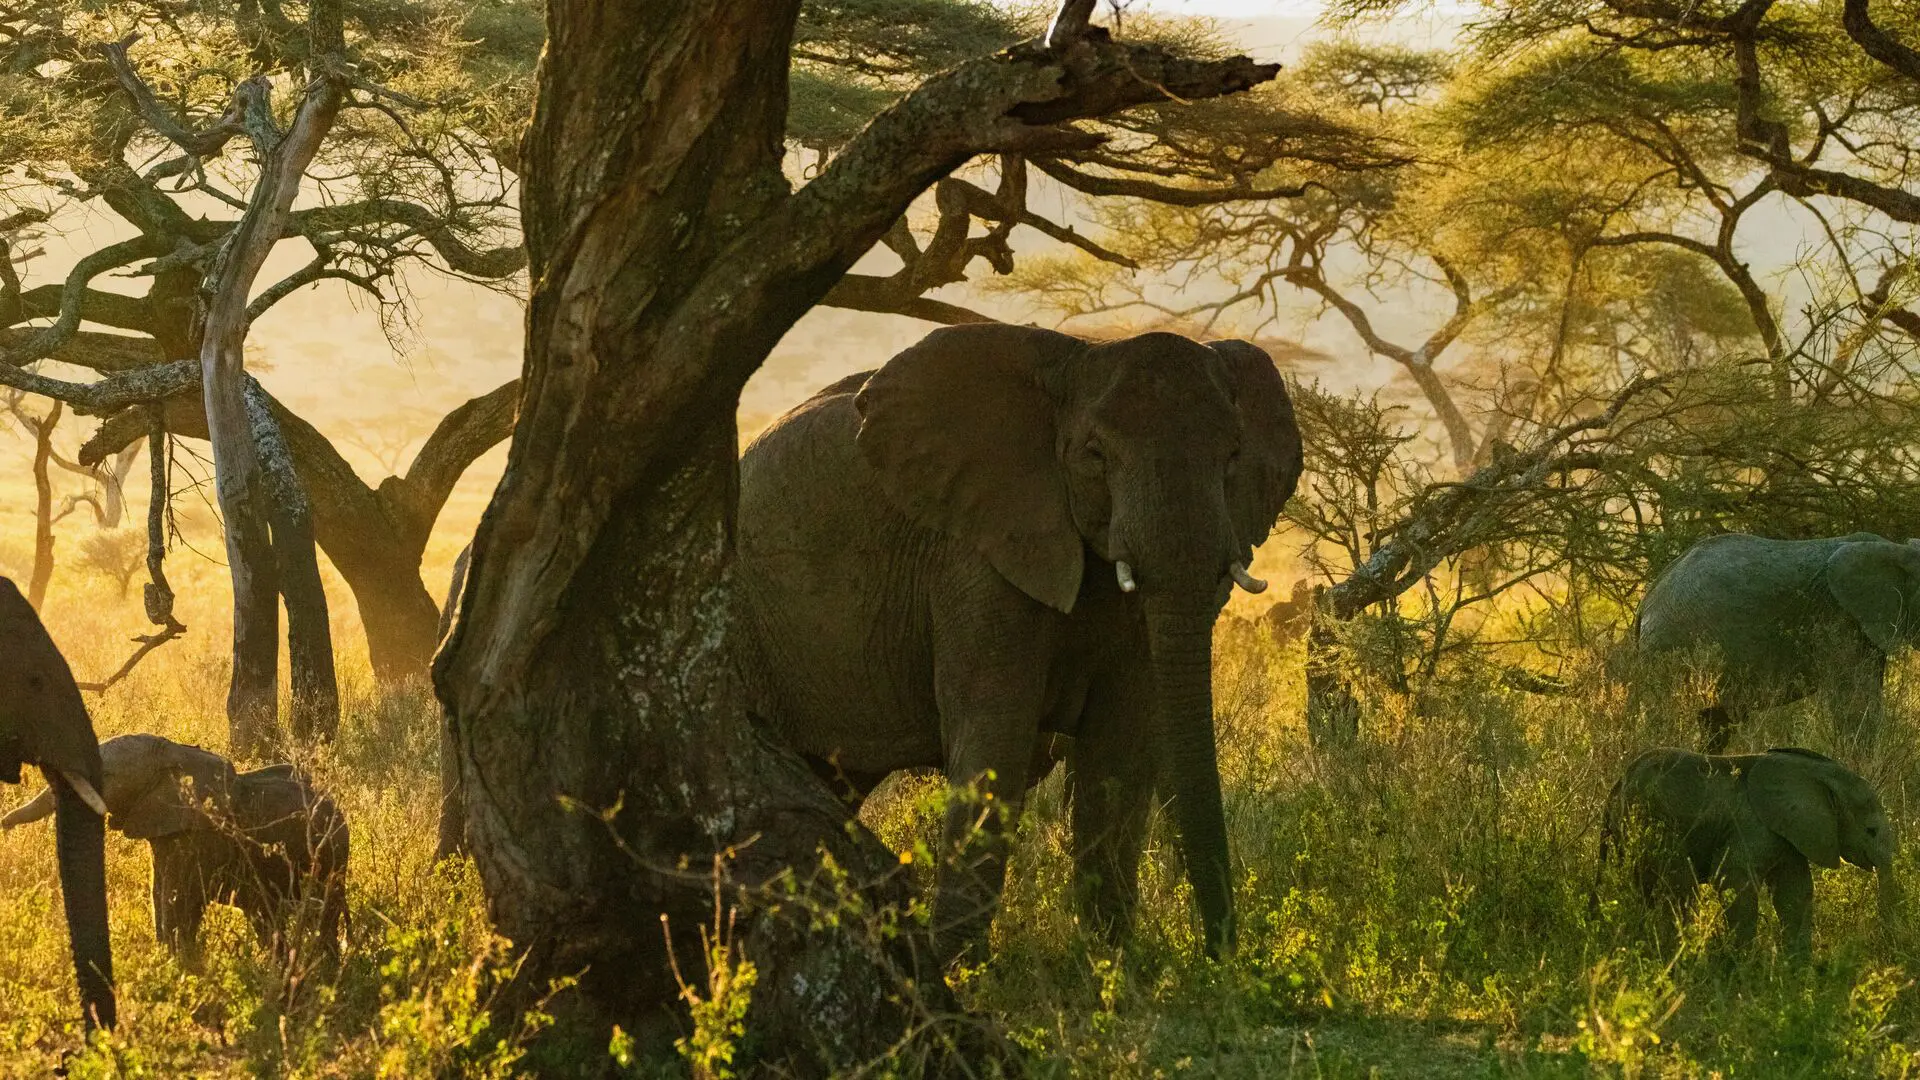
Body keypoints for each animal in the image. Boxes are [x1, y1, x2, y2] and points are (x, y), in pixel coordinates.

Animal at [5, 734, 350, 959]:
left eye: (108, 774)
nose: (3, 823)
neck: (174, 753)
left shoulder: (198, 836)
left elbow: (179, 901)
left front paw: (179, 966)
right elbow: (160, 894)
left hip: (331, 857)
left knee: (323, 914)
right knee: (267, 917)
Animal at [735, 324, 1303, 961]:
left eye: (1233, 457)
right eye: (1095, 455)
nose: (1221, 955)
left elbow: (1117, 752)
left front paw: (1112, 967)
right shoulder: (976, 556)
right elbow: (996, 741)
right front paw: (960, 971)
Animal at [1596, 746, 1898, 956]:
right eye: (1871, 831)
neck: (1818, 774)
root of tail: (1619, 783)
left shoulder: (1789, 833)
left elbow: (1795, 892)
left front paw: (1799, 971)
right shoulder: (1751, 827)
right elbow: (1736, 880)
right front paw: (1745, 964)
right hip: (1653, 822)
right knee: (1678, 887)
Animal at [1634, 533, 1920, 751]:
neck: (1896, 550)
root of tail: (1649, 595)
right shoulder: (1838, 619)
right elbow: (1856, 702)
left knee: (1715, 723)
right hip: (1671, 644)